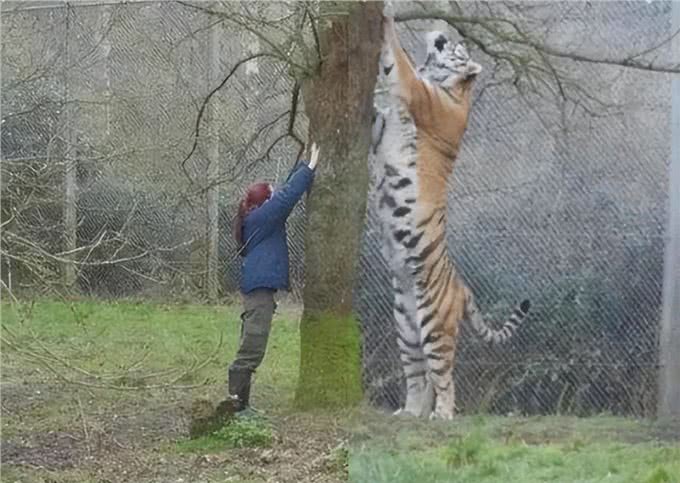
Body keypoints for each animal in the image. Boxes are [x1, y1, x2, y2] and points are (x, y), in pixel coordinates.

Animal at [370, 16, 531, 420]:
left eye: (459, 45)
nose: (445, 32)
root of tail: (463, 288)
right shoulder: (380, 129)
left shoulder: (415, 92)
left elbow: (396, 57)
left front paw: (386, 16)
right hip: (405, 323)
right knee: (419, 375)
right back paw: (410, 413)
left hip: (434, 322)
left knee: (444, 375)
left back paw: (441, 415)